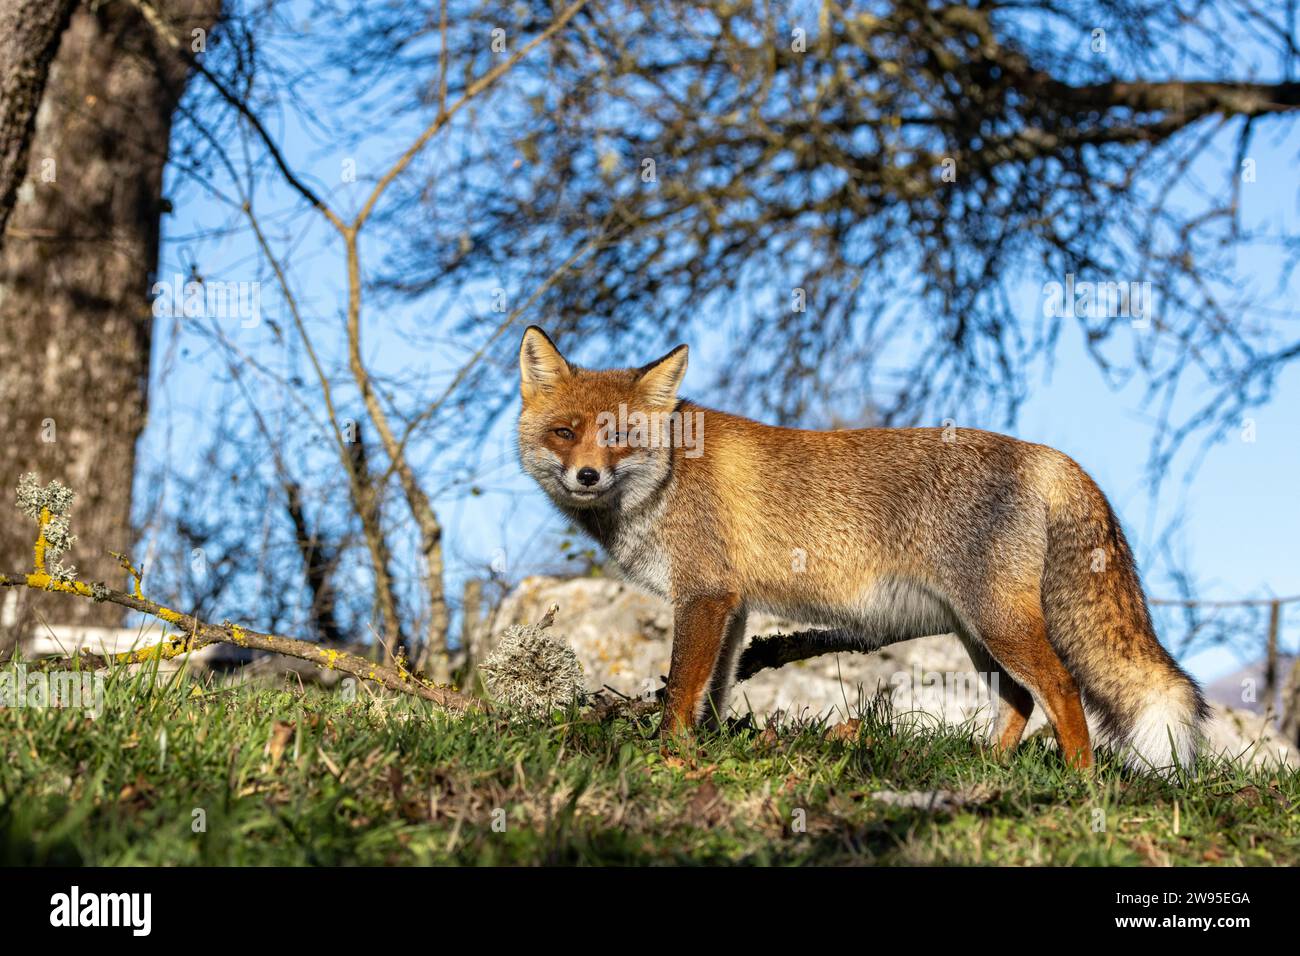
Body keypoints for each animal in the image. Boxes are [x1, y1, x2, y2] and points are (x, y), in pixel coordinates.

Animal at [516, 326, 1208, 772]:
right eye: (565, 432)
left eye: (621, 438)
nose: (587, 477)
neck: (667, 479)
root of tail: (1048, 456)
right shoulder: (731, 607)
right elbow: (713, 693)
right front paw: (700, 752)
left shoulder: (704, 596)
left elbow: (682, 694)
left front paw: (668, 756)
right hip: (977, 632)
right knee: (1019, 699)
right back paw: (991, 771)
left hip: (999, 624)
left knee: (1062, 690)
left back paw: (1080, 783)